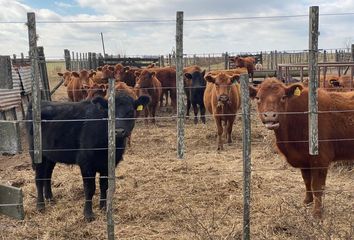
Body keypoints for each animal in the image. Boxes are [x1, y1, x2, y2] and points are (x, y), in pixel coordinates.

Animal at [25, 92, 149, 221]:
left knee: (47, 175)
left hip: (50, 156)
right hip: (36, 154)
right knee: (39, 178)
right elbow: (90, 189)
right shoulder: (86, 163)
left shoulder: (107, 165)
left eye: (130, 112)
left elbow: (104, 186)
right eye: (109, 113)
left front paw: (103, 207)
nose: (119, 131)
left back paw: (50, 198)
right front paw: (88, 214)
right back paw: (40, 206)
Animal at [249, 77, 354, 218]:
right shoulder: (304, 160)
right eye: (258, 98)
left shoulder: (320, 160)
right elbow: (307, 181)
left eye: (283, 97)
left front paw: (317, 213)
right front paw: (307, 201)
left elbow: (317, 186)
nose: (270, 115)